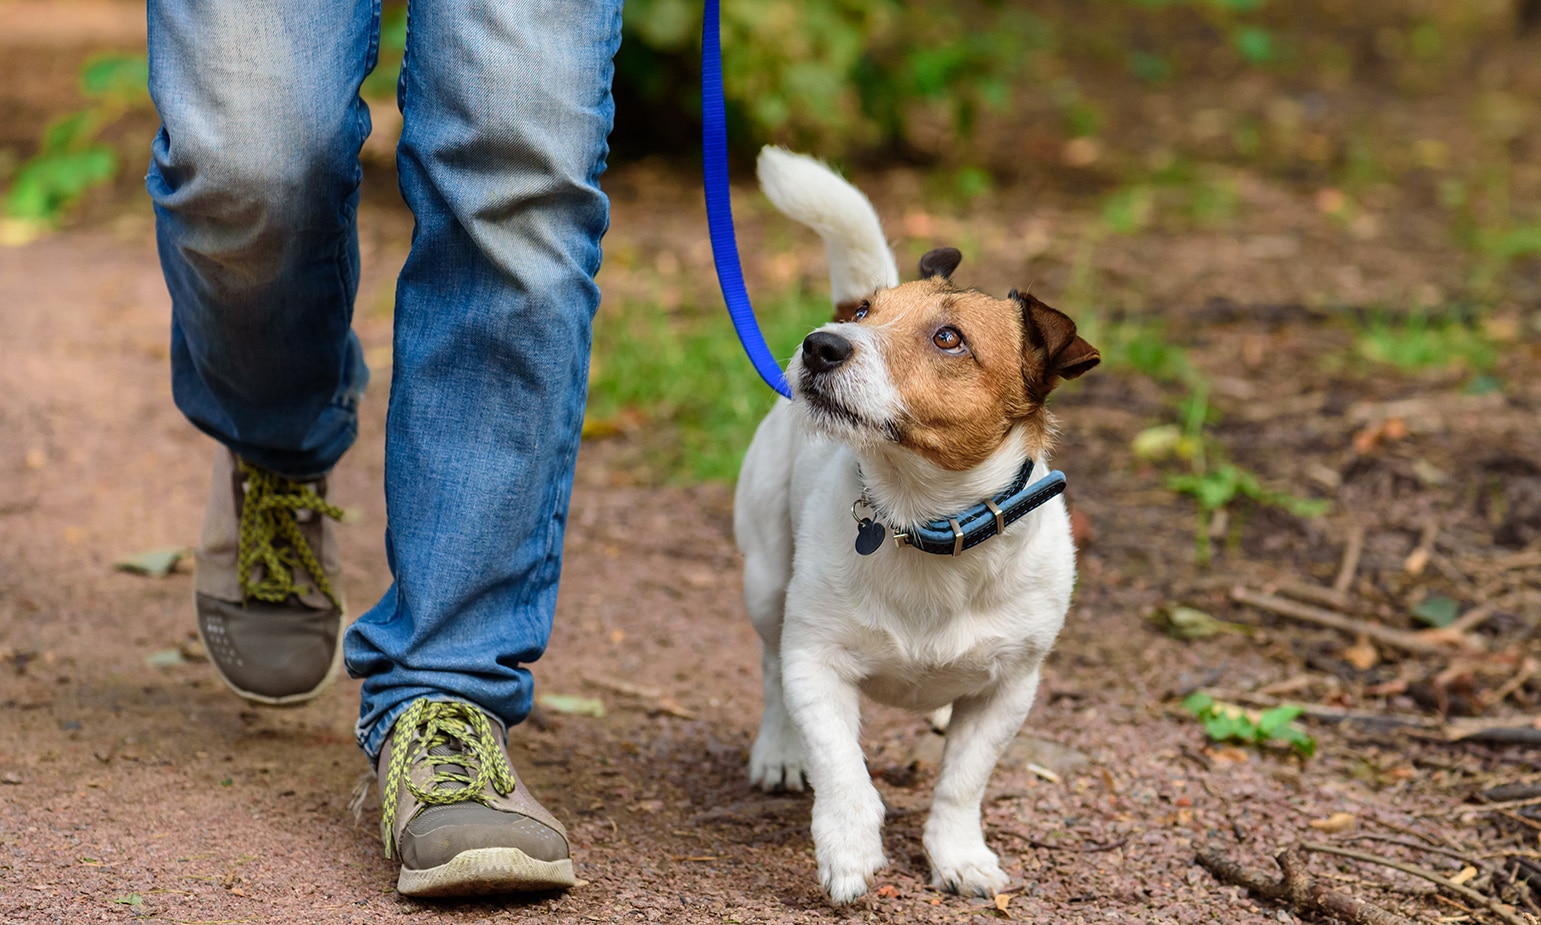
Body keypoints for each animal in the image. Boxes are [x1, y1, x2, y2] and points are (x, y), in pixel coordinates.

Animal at [730, 146, 1097, 900]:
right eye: (867, 312)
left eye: (948, 338)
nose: (820, 344)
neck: (922, 520)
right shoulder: (816, 662)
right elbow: (840, 765)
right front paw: (848, 846)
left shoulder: (1009, 690)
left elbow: (962, 782)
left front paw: (959, 854)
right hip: (765, 580)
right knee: (771, 670)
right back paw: (779, 750)